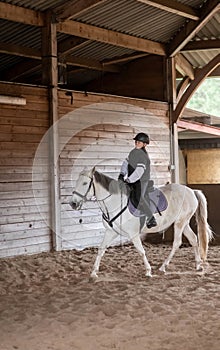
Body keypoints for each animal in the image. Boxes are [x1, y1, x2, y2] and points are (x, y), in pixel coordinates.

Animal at [69, 168, 212, 278]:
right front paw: (94, 272)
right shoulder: (111, 232)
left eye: (85, 183)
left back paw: (163, 266)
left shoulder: (133, 234)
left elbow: (141, 251)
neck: (115, 202)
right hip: (184, 222)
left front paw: (148, 271)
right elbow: (101, 249)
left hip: (180, 223)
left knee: (177, 243)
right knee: (193, 239)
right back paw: (198, 265)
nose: (73, 203)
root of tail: (191, 191)